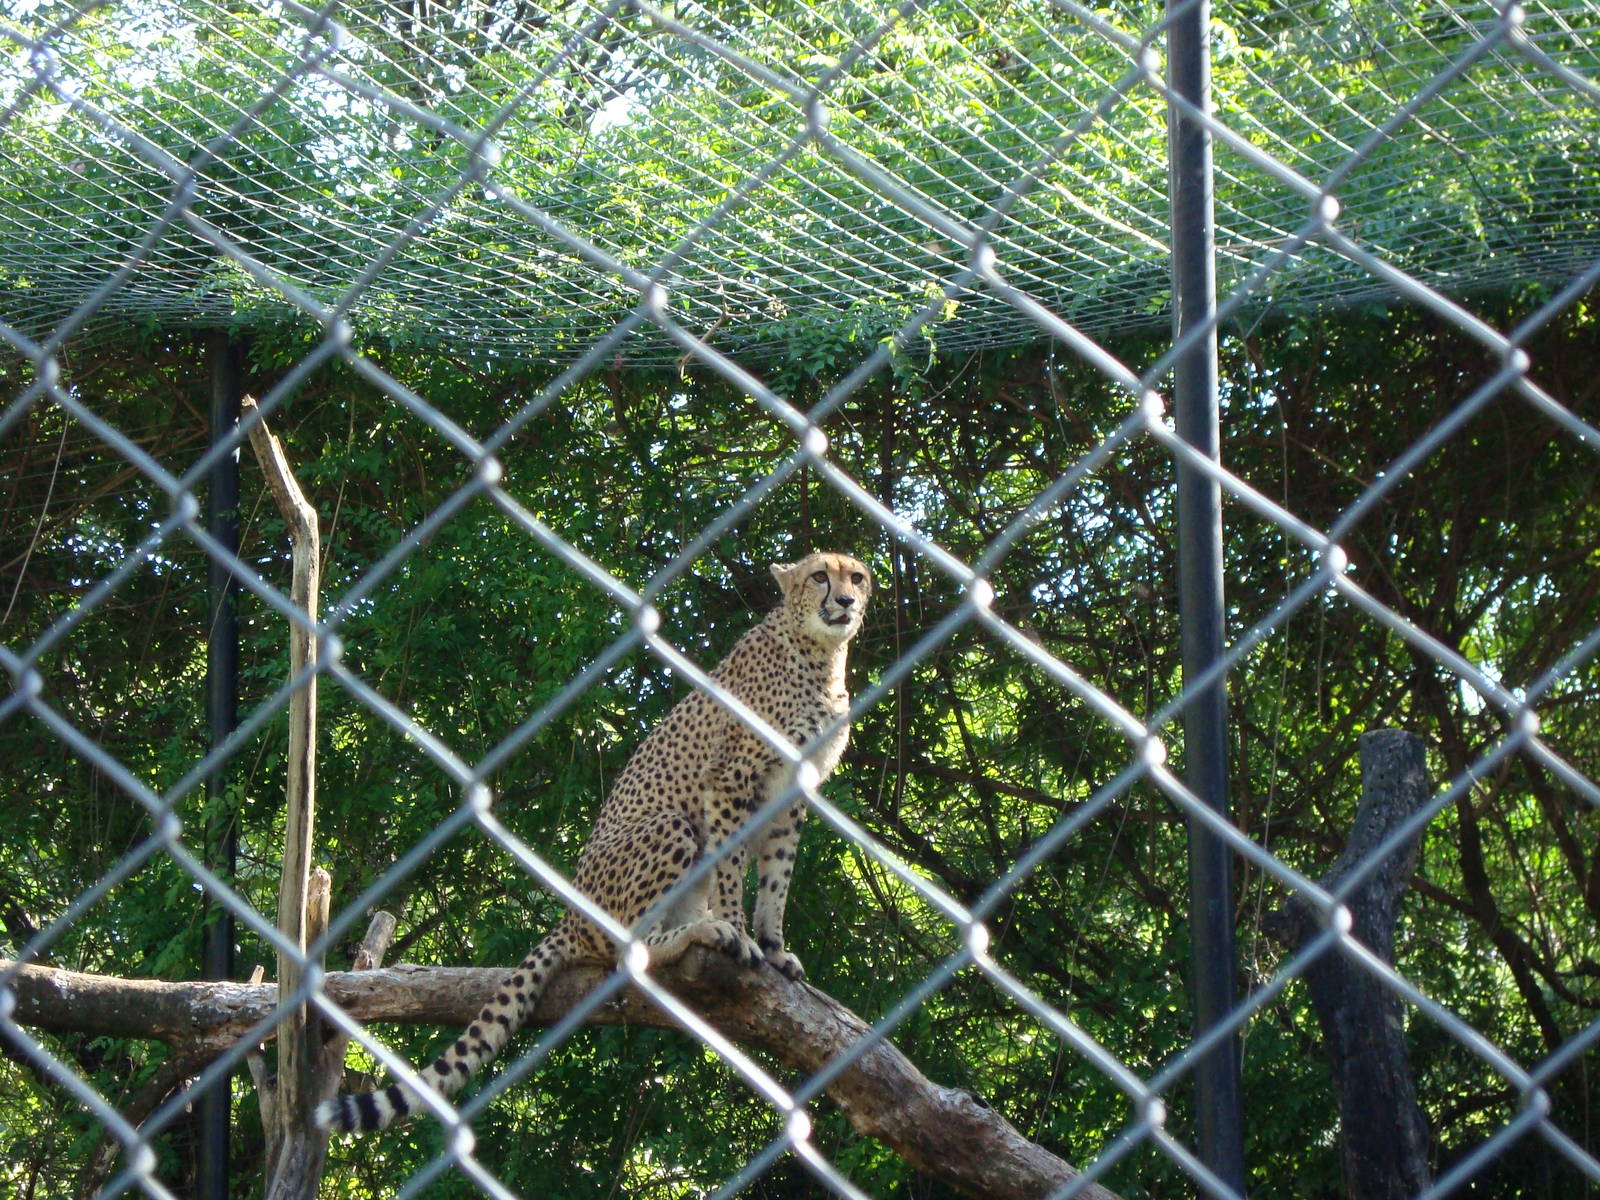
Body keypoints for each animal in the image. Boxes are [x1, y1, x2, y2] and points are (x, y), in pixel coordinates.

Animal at [316, 551, 872, 1132]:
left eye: (857, 577)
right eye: (819, 576)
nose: (846, 601)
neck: (819, 654)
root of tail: (570, 915)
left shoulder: (791, 799)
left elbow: (776, 881)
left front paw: (776, 948)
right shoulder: (728, 783)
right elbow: (731, 873)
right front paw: (739, 934)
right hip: (668, 826)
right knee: (629, 948)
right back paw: (701, 932)